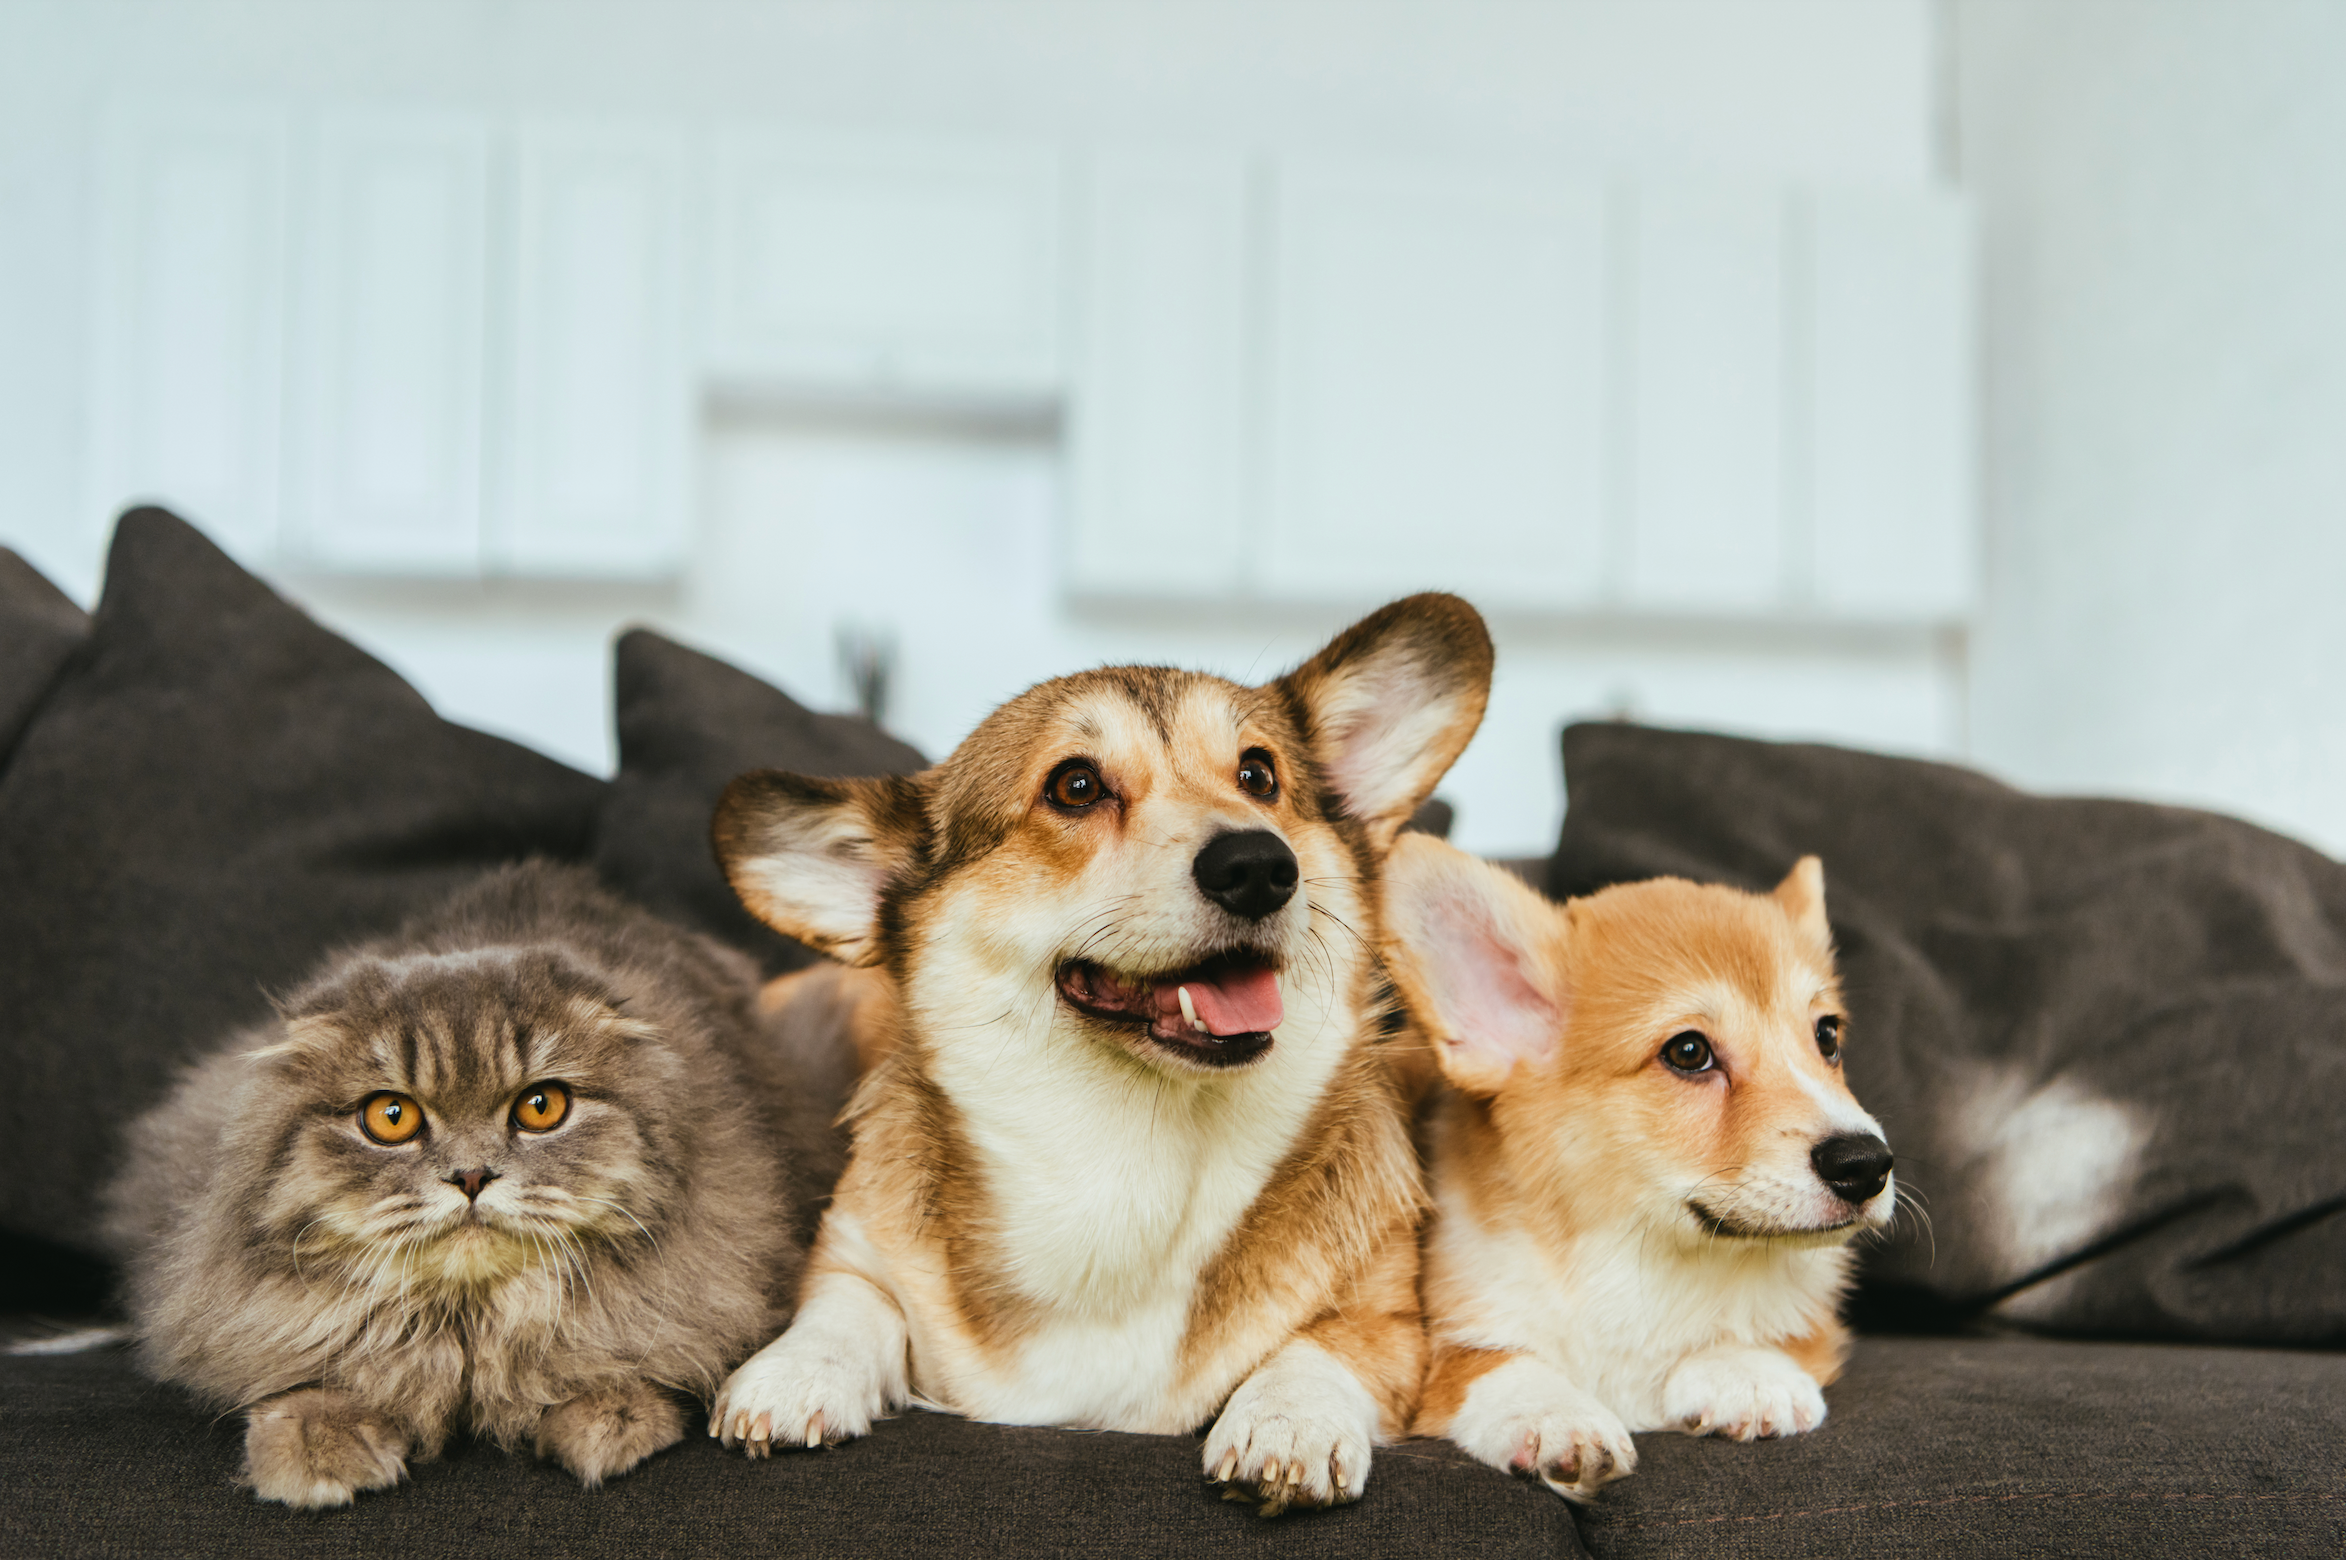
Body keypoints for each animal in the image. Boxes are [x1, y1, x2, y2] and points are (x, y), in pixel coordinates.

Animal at [105, 858, 853, 1501]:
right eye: (392, 1117)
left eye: (541, 1107)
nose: (470, 1175)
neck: (467, 1329)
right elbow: (317, 1366)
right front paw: (317, 1446)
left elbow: (620, 1349)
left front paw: (606, 1418)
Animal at [703, 586, 1492, 1510]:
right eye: (1074, 786)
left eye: (1259, 775)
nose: (1260, 865)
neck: (1129, 1158)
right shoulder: (853, 1252)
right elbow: (845, 1307)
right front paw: (793, 1373)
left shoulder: (1389, 1321)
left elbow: (1321, 1348)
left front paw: (1288, 1421)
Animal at [1379, 835, 1895, 1501]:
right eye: (1689, 1052)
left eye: (1826, 1036)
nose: (1867, 1164)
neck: (1643, 1259)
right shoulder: (1436, 1355)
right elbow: (1496, 1361)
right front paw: (1555, 1414)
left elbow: (1764, 1336)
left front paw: (1748, 1372)